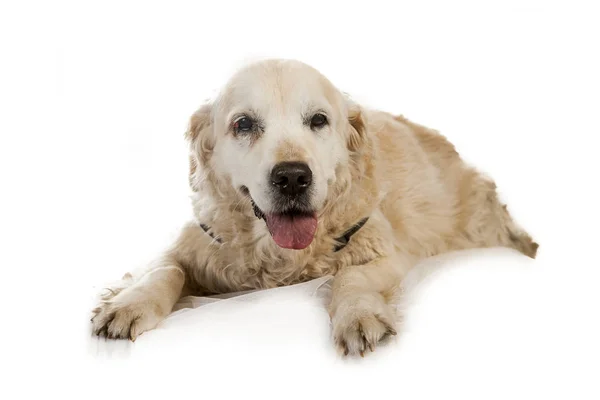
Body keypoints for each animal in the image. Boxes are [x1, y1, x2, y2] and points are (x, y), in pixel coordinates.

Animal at [90, 58, 540, 356]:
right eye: (243, 124)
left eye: (318, 120)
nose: (292, 177)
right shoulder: (196, 241)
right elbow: (164, 269)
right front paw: (128, 304)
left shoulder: (386, 250)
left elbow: (350, 277)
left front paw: (358, 316)